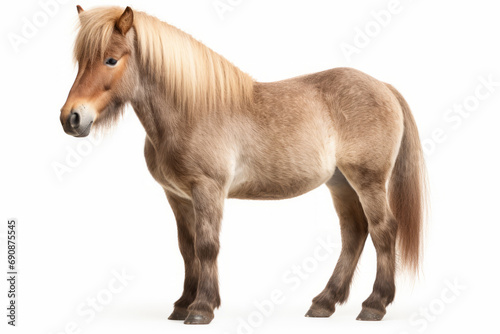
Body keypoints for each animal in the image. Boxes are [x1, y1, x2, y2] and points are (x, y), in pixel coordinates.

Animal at [58, 4, 426, 324]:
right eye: (80, 60)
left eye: (110, 59)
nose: (71, 118)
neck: (190, 110)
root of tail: (383, 87)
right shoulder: (177, 196)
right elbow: (187, 248)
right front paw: (182, 304)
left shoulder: (208, 189)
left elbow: (207, 246)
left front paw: (202, 308)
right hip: (340, 182)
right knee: (354, 233)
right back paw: (325, 302)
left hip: (368, 180)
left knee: (382, 230)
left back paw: (374, 304)